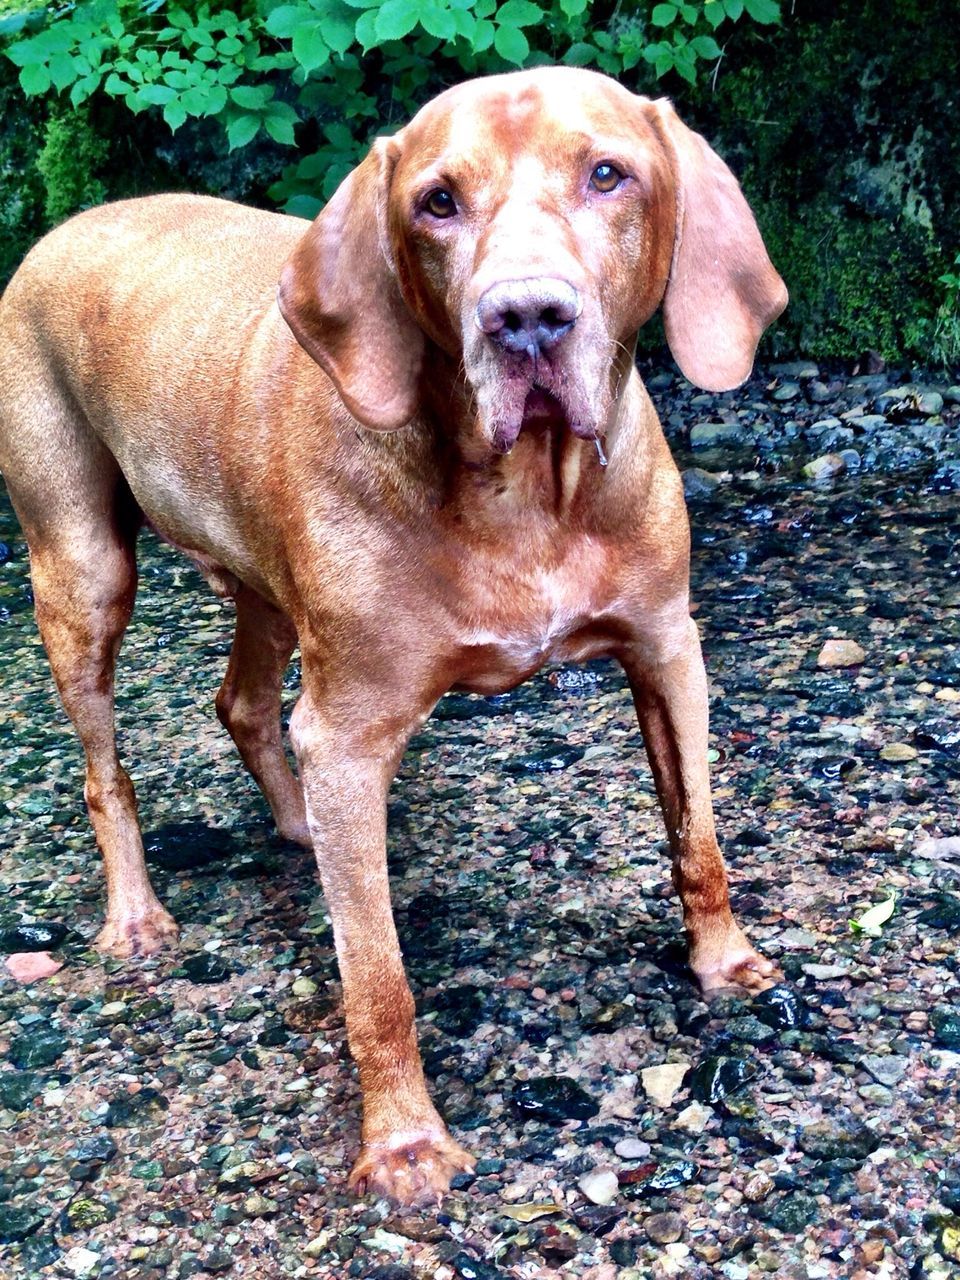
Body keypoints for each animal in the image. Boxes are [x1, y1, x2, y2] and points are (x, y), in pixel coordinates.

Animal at [0, 70, 788, 1203]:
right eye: (438, 202)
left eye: (608, 174)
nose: (527, 318)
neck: (526, 494)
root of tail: (65, 227)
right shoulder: (353, 732)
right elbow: (376, 975)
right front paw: (405, 1141)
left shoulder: (667, 651)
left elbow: (699, 838)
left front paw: (724, 962)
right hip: (82, 566)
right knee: (107, 766)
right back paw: (136, 914)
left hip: (264, 581)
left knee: (243, 702)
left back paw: (293, 824)